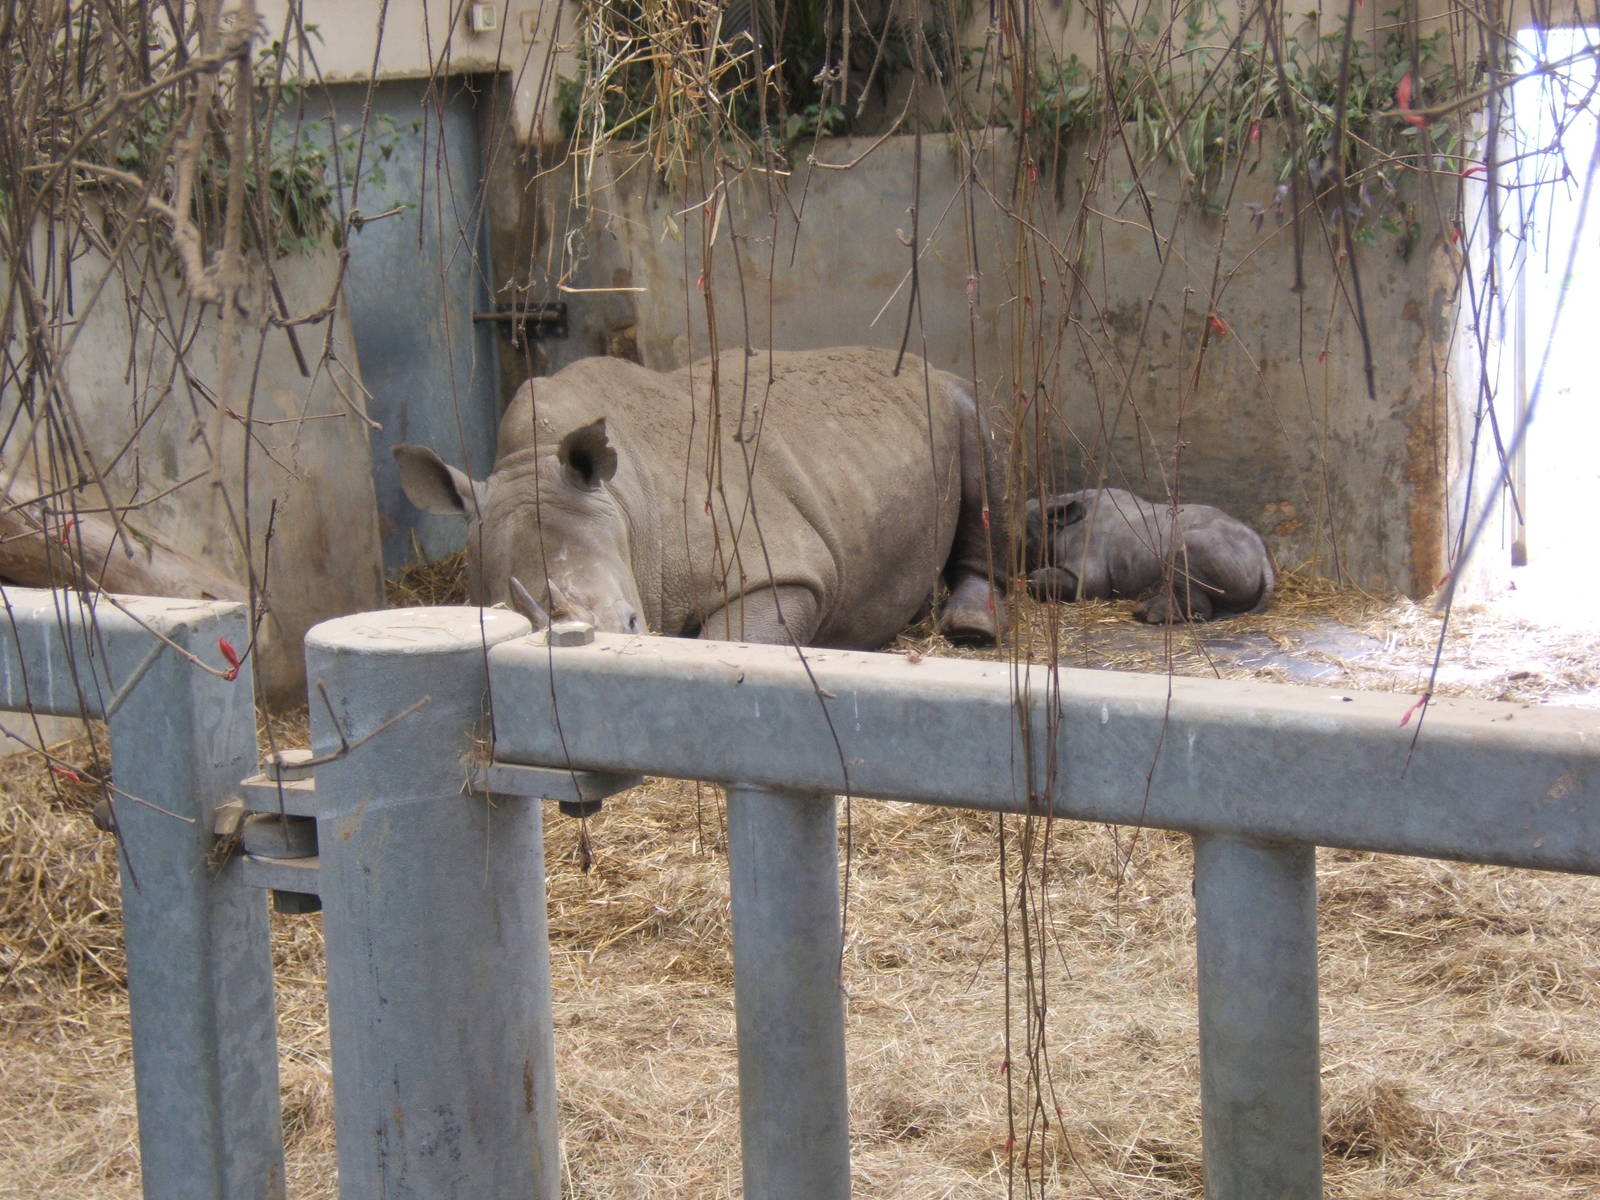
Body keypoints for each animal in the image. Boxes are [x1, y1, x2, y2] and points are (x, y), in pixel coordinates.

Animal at [394, 346, 1006, 648]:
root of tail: (921, 364)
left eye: (634, 623)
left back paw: (972, 632)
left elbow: (734, 639)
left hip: (954, 392)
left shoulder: (778, 567)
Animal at [1024, 488, 1274, 622]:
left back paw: (1148, 613)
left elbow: (1080, 584)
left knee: (1182, 548)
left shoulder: (1087, 568)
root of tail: (1263, 559)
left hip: (1216, 547)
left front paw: (1032, 580)